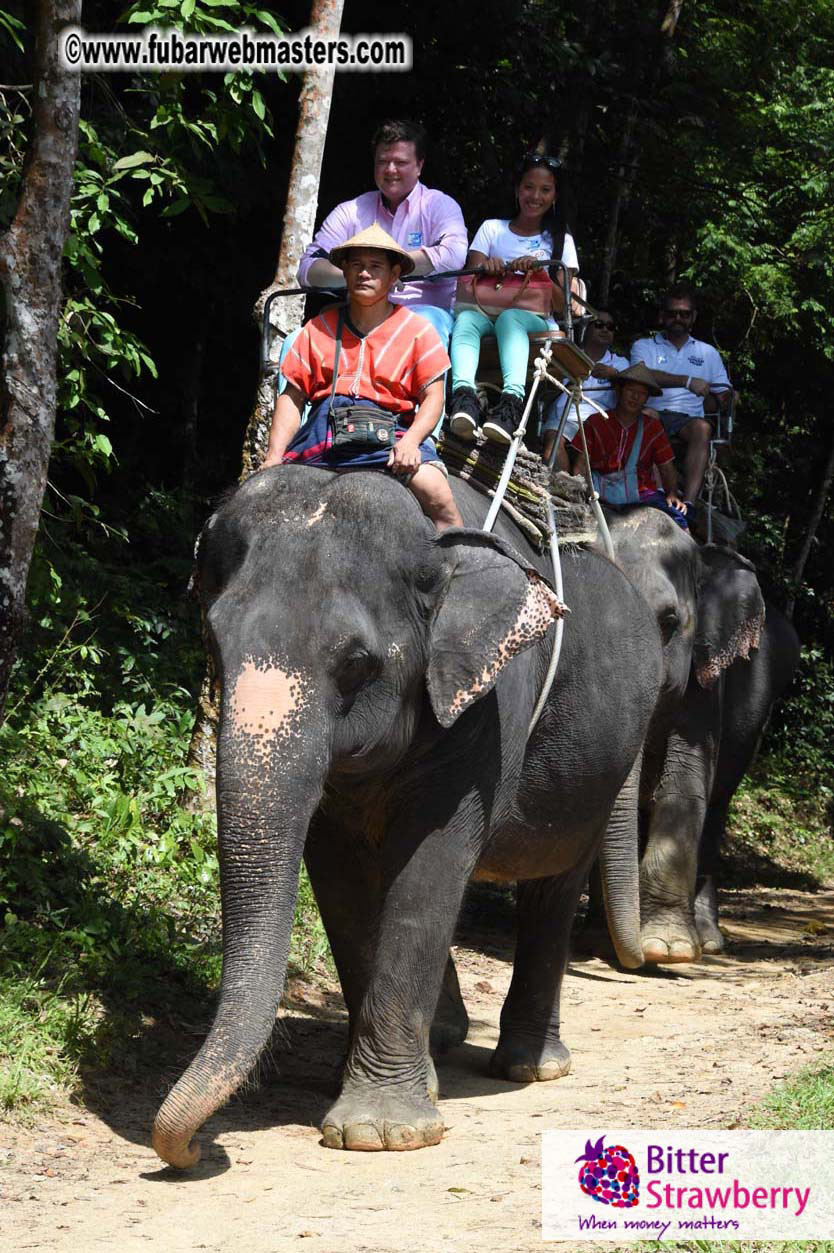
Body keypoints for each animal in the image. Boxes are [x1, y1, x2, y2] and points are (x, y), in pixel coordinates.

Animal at [152, 466, 666, 1168]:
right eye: (213, 640)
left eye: (356, 663)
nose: (192, 1153)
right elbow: (341, 878)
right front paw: (375, 1091)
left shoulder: (487, 707)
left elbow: (428, 866)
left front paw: (380, 1133)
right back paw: (446, 1046)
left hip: (603, 765)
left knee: (552, 888)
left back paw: (532, 1067)